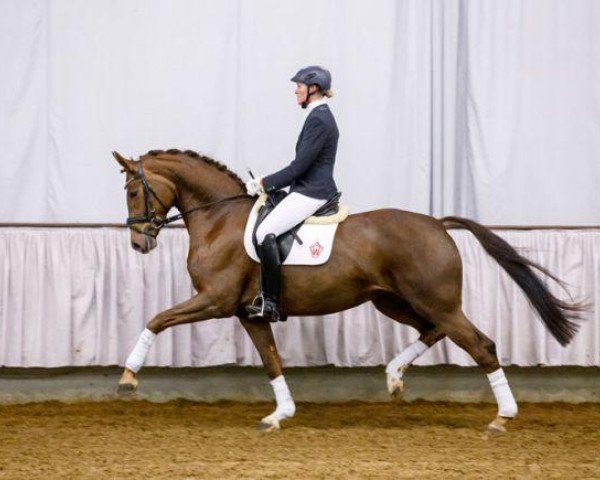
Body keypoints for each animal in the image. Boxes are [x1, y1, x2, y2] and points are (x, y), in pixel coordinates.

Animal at [111, 148, 580, 434]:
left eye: (133, 191)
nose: (139, 244)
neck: (219, 219)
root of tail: (436, 224)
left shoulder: (216, 301)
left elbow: (156, 318)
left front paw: (128, 377)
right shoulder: (248, 312)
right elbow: (271, 360)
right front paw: (280, 414)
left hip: (437, 302)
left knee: (481, 345)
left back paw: (502, 417)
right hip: (392, 300)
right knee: (432, 331)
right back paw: (394, 378)